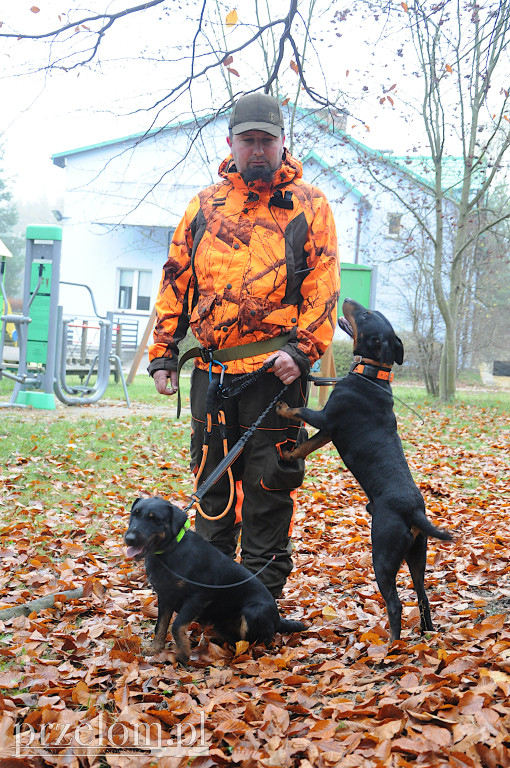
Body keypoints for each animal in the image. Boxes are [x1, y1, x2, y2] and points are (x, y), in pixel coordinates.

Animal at [125, 496, 304, 664]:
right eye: (134, 514)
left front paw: (183, 654)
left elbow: (176, 626)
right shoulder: (165, 597)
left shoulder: (198, 597)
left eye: (154, 519)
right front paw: (155, 648)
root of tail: (277, 619)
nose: (129, 538)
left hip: (254, 611)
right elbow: (160, 626)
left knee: (260, 640)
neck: (169, 552)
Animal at [276, 298, 452, 640]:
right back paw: (424, 635)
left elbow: (299, 410)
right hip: (417, 554)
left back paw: (391, 646)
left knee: (395, 604)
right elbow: (305, 446)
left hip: (383, 554)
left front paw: (282, 408)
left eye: (366, 315)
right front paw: (290, 454)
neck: (371, 375)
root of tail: (414, 512)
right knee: (423, 596)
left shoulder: (325, 418)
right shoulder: (328, 431)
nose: (347, 300)